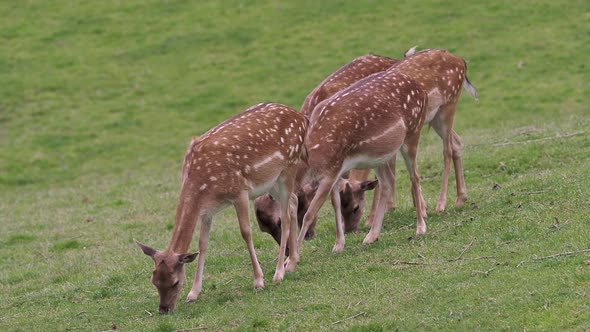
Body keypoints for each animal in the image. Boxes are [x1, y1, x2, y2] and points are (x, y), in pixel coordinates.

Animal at [136, 103, 308, 314]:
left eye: (175, 282)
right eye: (154, 281)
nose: (163, 309)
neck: (203, 185)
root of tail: (302, 118)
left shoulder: (239, 192)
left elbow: (246, 233)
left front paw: (258, 281)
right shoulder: (207, 210)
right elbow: (202, 244)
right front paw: (193, 293)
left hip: (289, 166)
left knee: (285, 217)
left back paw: (279, 273)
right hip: (272, 181)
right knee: (293, 202)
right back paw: (292, 262)